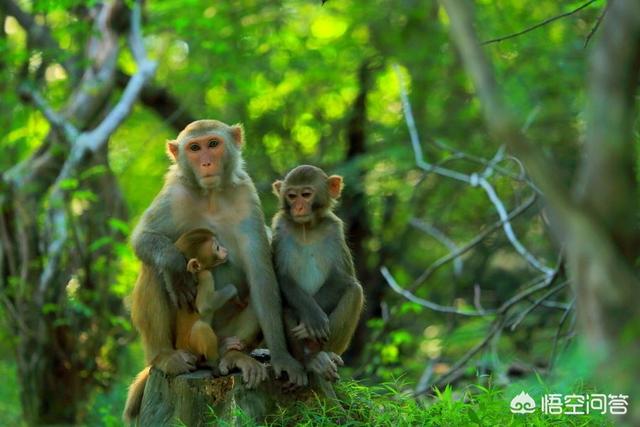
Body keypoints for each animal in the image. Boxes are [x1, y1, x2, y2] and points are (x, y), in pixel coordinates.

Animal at [126, 121, 306, 404]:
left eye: (213, 144)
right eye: (194, 148)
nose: (206, 163)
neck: (210, 194)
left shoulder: (245, 194)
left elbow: (261, 274)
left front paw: (282, 357)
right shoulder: (174, 193)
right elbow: (143, 237)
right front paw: (176, 268)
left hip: (224, 332)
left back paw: (232, 355)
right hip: (183, 341)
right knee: (153, 268)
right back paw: (165, 356)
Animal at [272, 164, 364, 382]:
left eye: (306, 195)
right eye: (291, 196)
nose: (298, 208)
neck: (307, 228)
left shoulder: (334, 229)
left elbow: (343, 277)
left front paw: (311, 322)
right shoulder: (280, 227)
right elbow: (282, 277)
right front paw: (312, 315)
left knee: (355, 291)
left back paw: (327, 354)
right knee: (287, 307)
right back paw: (310, 361)